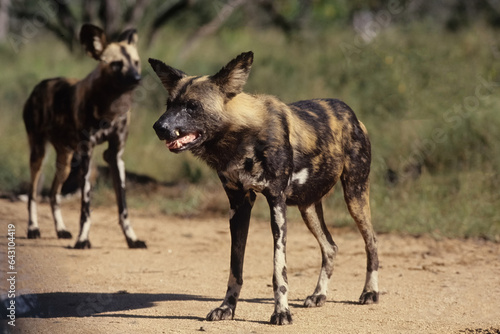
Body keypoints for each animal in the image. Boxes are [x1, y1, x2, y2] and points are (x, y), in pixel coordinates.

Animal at [23, 22, 146, 248]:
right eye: (117, 64)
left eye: (136, 62)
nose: (137, 79)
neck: (111, 106)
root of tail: (40, 84)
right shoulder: (87, 155)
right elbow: (86, 207)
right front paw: (83, 240)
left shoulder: (115, 156)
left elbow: (123, 207)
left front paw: (132, 239)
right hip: (38, 154)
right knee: (33, 194)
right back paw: (33, 228)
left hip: (65, 161)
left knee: (53, 194)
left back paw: (61, 230)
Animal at [148, 51, 378, 324]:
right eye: (169, 104)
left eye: (192, 106)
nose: (158, 127)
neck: (241, 139)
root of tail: (351, 113)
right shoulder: (239, 205)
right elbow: (235, 268)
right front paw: (227, 308)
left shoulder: (276, 202)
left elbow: (279, 271)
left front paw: (281, 312)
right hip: (308, 208)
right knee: (330, 247)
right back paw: (319, 295)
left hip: (355, 195)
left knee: (371, 242)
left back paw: (370, 292)